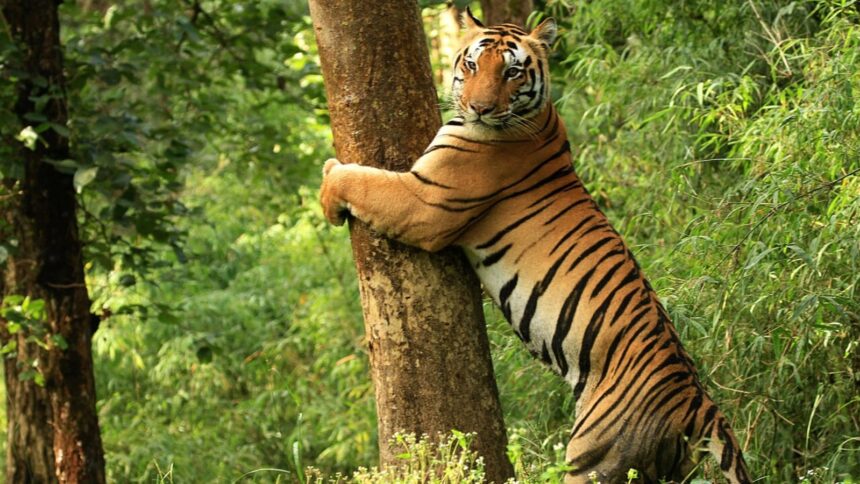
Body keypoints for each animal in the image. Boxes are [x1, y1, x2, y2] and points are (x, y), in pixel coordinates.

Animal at [319, 8, 752, 484]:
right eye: (472, 65)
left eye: (511, 71)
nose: (480, 108)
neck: (539, 118)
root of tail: (699, 403)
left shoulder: (424, 201)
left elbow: (361, 180)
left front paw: (327, 187)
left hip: (595, 457)